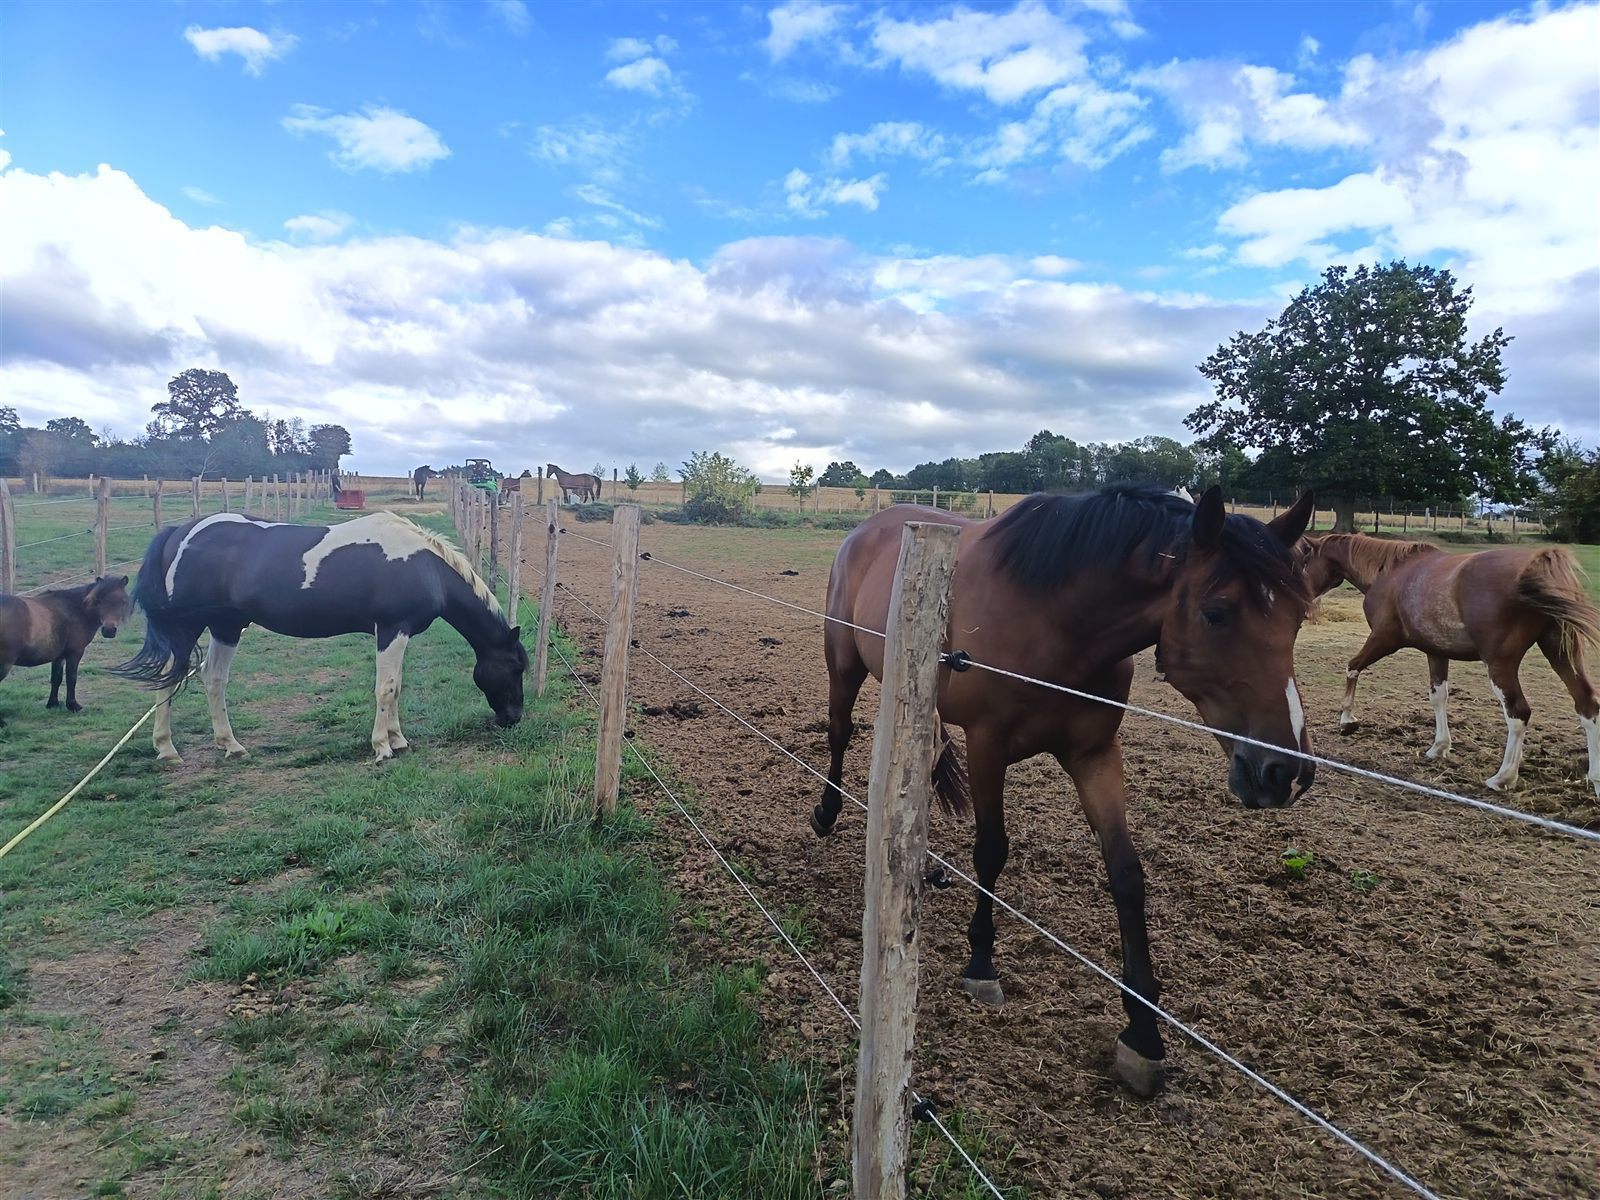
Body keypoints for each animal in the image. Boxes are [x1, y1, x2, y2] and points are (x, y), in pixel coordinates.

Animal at [0, 576, 132, 724]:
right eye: (99, 600)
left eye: (123, 601)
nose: (109, 630)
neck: (76, 610)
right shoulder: (74, 653)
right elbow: (71, 678)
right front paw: (73, 705)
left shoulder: (59, 656)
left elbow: (56, 678)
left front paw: (53, 704)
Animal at [117, 512, 527, 764]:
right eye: (516, 668)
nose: (513, 719)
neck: (424, 566)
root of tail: (180, 532)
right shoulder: (391, 628)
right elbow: (386, 688)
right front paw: (382, 747)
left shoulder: (400, 632)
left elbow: (396, 686)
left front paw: (398, 739)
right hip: (187, 627)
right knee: (167, 681)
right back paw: (167, 749)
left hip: (226, 626)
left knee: (213, 679)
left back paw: (230, 745)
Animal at [816, 484, 1316, 1097]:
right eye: (1216, 613)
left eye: (1297, 618)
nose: (1284, 772)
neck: (1056, 621)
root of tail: (870, 527)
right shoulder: (988, 747)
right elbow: (991, 851)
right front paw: (981, 964)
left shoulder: (1095, 755)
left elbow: (1126, 874)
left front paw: (1143, 1033)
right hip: (845, 665)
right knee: (840, 734)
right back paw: (827, 812)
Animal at [1304, 533, 1600, 796]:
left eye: (1306, 561)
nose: (1305, 602)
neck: (1389, 572)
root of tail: (1539, 564)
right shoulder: (1435, 652)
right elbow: (1439, 696)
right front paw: (1439, 747)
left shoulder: (1384, 639)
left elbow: (1352, 666)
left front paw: (1347, 720)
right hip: (1561, 654)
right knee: (1587, 706)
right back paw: (1594, 779)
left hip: (1501, 665)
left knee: (1518, 713)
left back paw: (1502, 777)